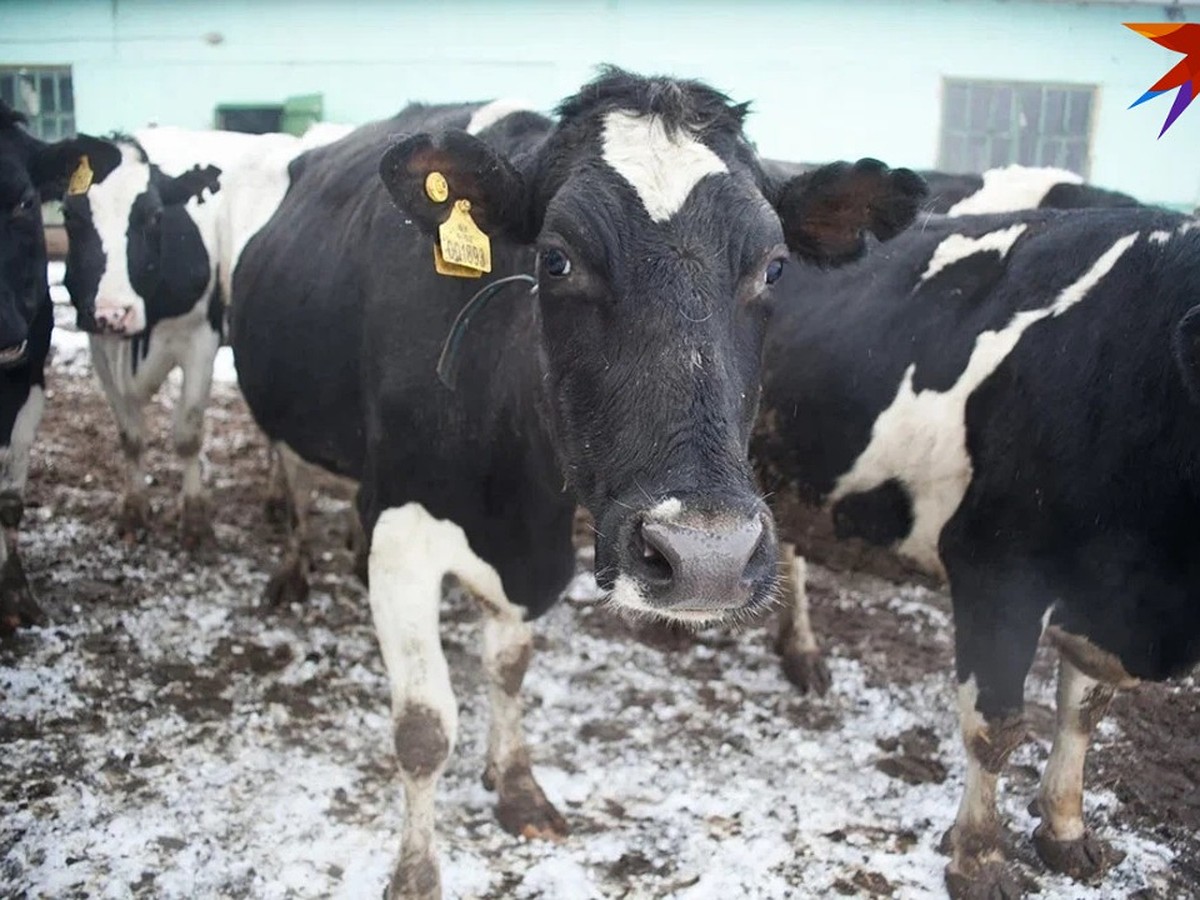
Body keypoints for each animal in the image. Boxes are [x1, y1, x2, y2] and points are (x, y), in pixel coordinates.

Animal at [59, 139, 223, 549]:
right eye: (70, 216)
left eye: (154, 216)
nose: (113, 312)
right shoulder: (100, 346)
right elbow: (130, 437)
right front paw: (134, 510)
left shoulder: (202, 341)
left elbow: (187, 435)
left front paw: (195, 522)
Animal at [231, 66, 926, 897]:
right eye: (557, 260)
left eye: (776, 267)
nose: (708, 557)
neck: (513, 495)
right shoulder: (402, 539)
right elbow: (424, 729)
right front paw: (417, 872)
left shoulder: (537, 554)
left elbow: (509, 669)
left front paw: (517, 786)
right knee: (291, 474)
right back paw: (294, 567)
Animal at [753, 210, 1200, 900]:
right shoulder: (995, 570)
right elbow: (998, 728)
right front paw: (980, 860)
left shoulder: (1102, 596)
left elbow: (1084, 714)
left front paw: (1066, 830)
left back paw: (801, 652)